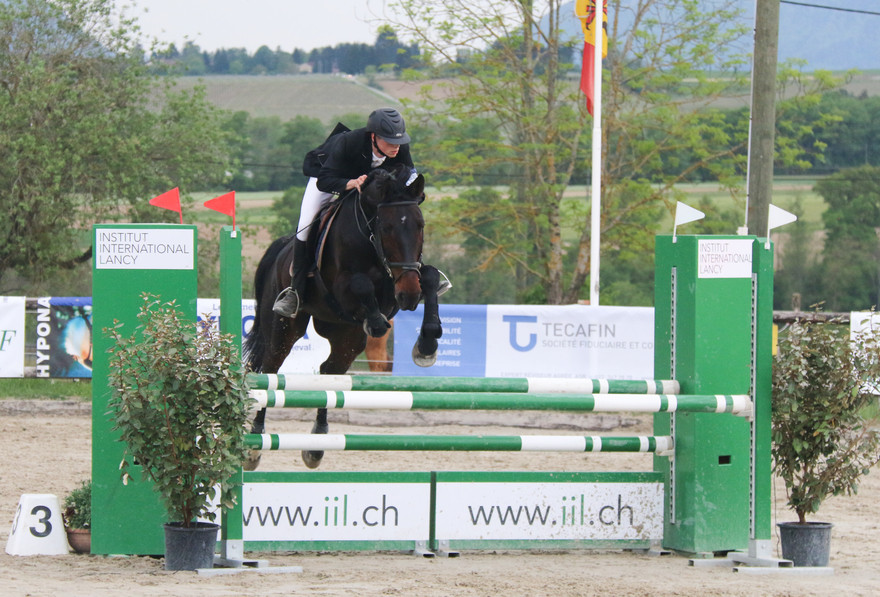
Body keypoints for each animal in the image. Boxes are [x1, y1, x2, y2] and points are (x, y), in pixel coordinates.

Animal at [243, 166, 443, 469]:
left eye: (419, 225)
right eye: (387, 228)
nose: (409, 296)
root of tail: (281, 250)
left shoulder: (400, 283)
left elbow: (429, 276)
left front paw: (427, 345)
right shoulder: (345, 287)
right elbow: (361, 285)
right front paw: (377, 323)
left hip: (346, 336)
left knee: (329, 373)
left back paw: (316, 445)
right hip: (284, 329)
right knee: (269, 370)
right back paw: (255, 443)